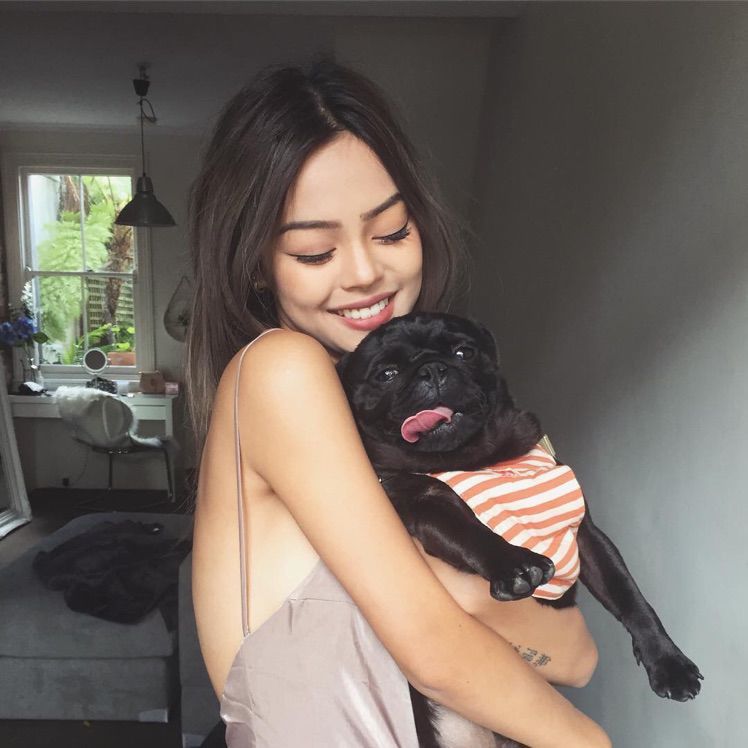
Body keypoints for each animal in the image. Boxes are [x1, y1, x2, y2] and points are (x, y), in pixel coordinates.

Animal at [336, 311, 703, 748]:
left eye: (464, 352)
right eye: (386, 374)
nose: (432, 369)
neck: (475, 459)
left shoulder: (587, 537)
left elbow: (630, 597)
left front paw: (668, 661)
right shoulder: (427, 507)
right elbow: (467, 529)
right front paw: (514, 565)